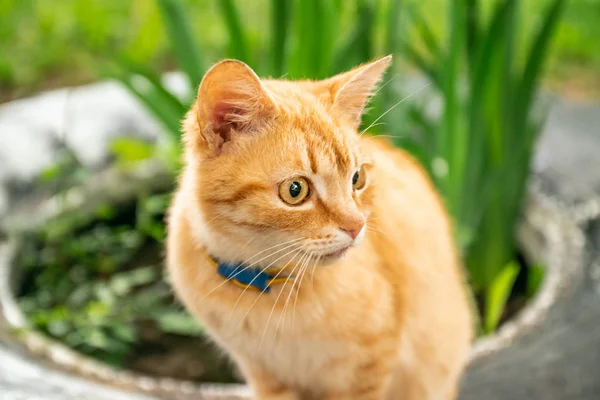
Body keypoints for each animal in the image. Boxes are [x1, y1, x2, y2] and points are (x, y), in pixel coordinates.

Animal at [168, 57, 474, 400]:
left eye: (357, 179)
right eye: (295, 190)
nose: (357, 226)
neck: (266, 289)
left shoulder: (368, 367)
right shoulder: (263, 373)